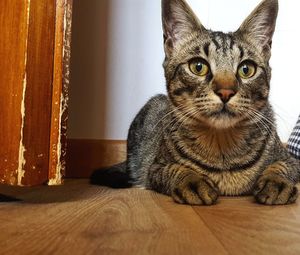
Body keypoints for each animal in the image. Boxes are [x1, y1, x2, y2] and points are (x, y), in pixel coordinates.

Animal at [91, 0, 300, 205]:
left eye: (246, 69)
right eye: (198, 67)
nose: (225, 91)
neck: (222, 146)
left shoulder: (292, 161)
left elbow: (281, 166)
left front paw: (276, 181)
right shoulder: (155, 168)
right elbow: (174, 169)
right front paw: (192, 180)